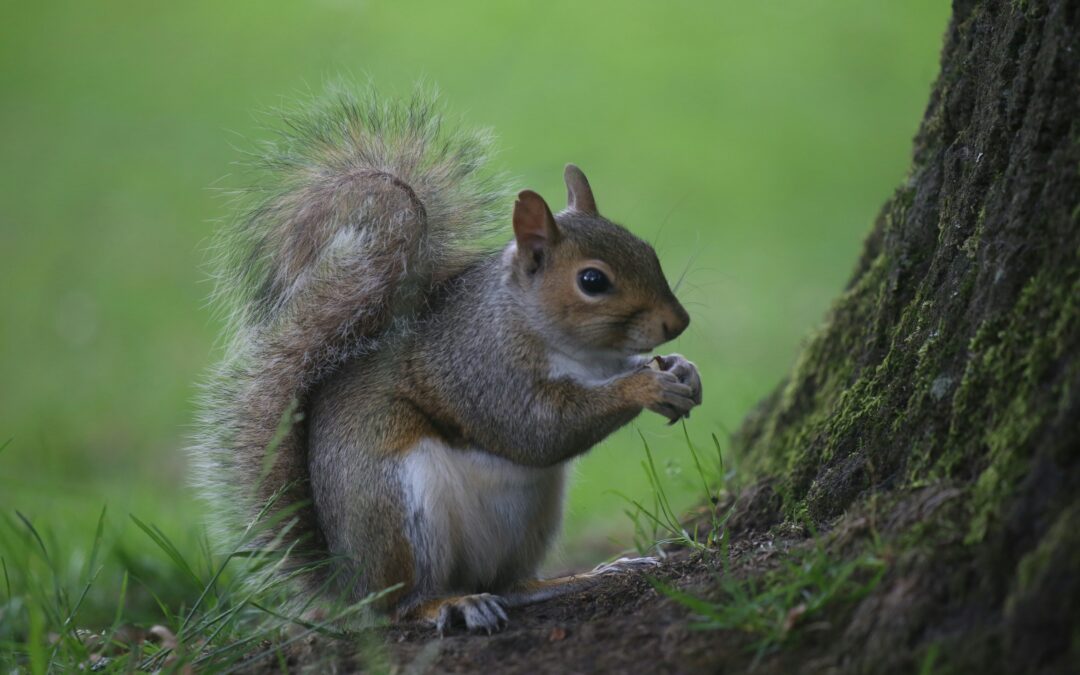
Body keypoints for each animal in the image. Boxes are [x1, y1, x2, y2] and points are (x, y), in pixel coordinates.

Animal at [192, 89, 702, 635]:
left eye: (647, 250)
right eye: (592, 281)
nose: (678, 322)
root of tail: (347, 580)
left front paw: (682, 370)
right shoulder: (482, 369)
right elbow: (539, 430)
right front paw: (645, 387)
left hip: (530, 519)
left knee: (510, 585)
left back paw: (579, 577)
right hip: (399, 512)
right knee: (400, 604)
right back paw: (451, 604)